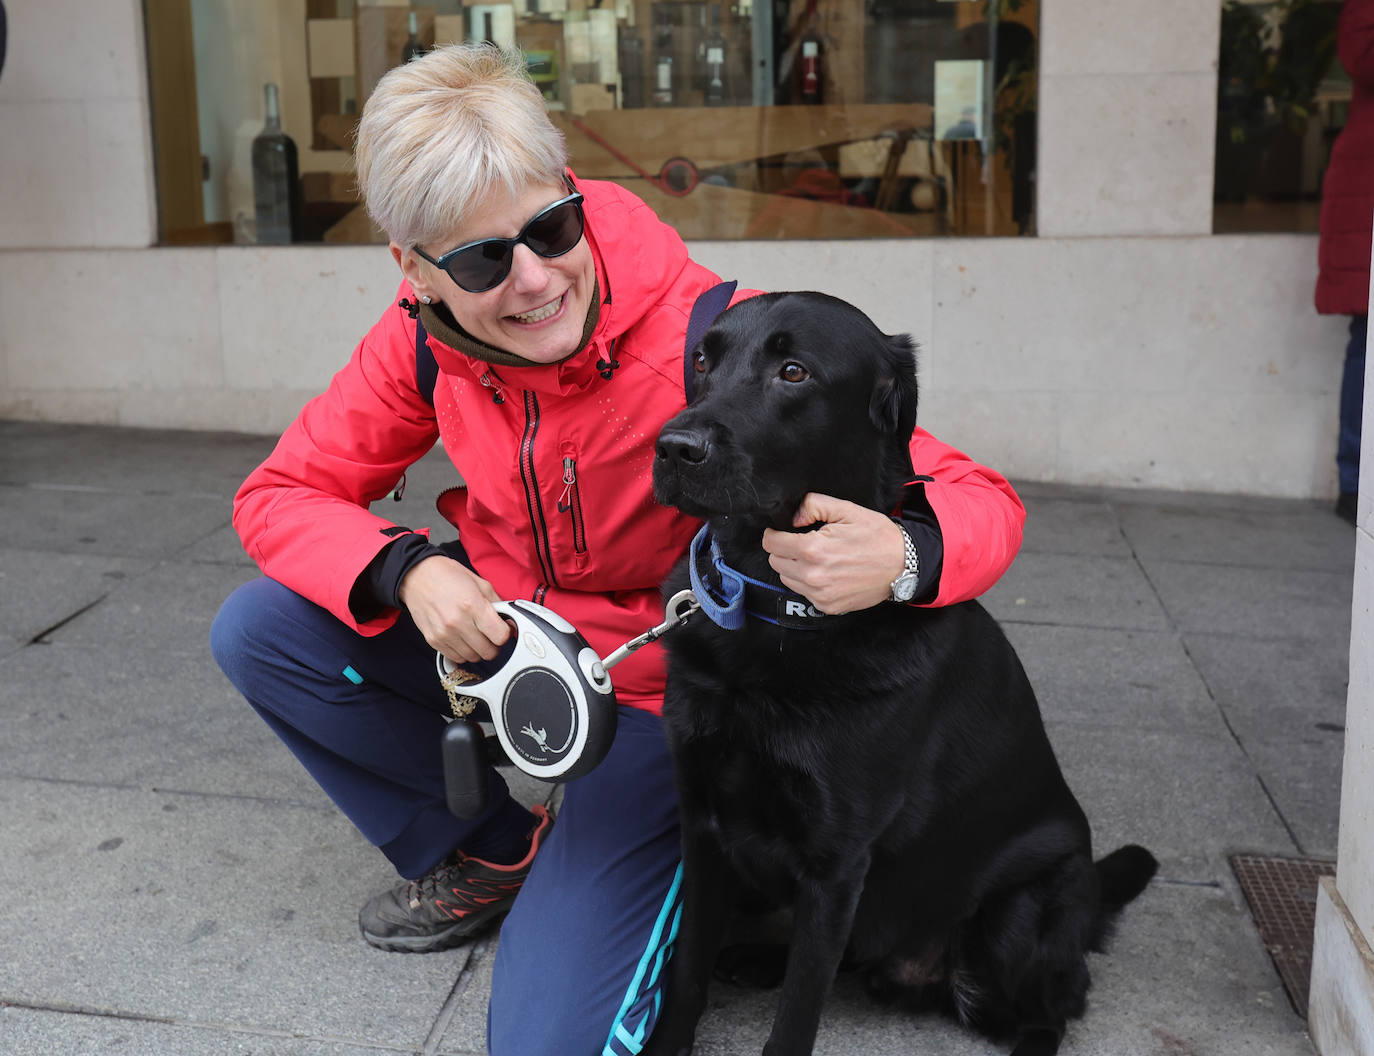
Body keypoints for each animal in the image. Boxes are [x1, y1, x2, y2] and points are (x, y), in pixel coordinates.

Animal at [645, 291, 1159, 1054]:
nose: (674, 448)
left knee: (1057, 1008)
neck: (776, 607)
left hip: (1020, 916)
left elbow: (796, 1016)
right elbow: (686, 973)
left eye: (793, 371)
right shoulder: (703, 821)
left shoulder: (838, 857)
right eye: (703, 360)